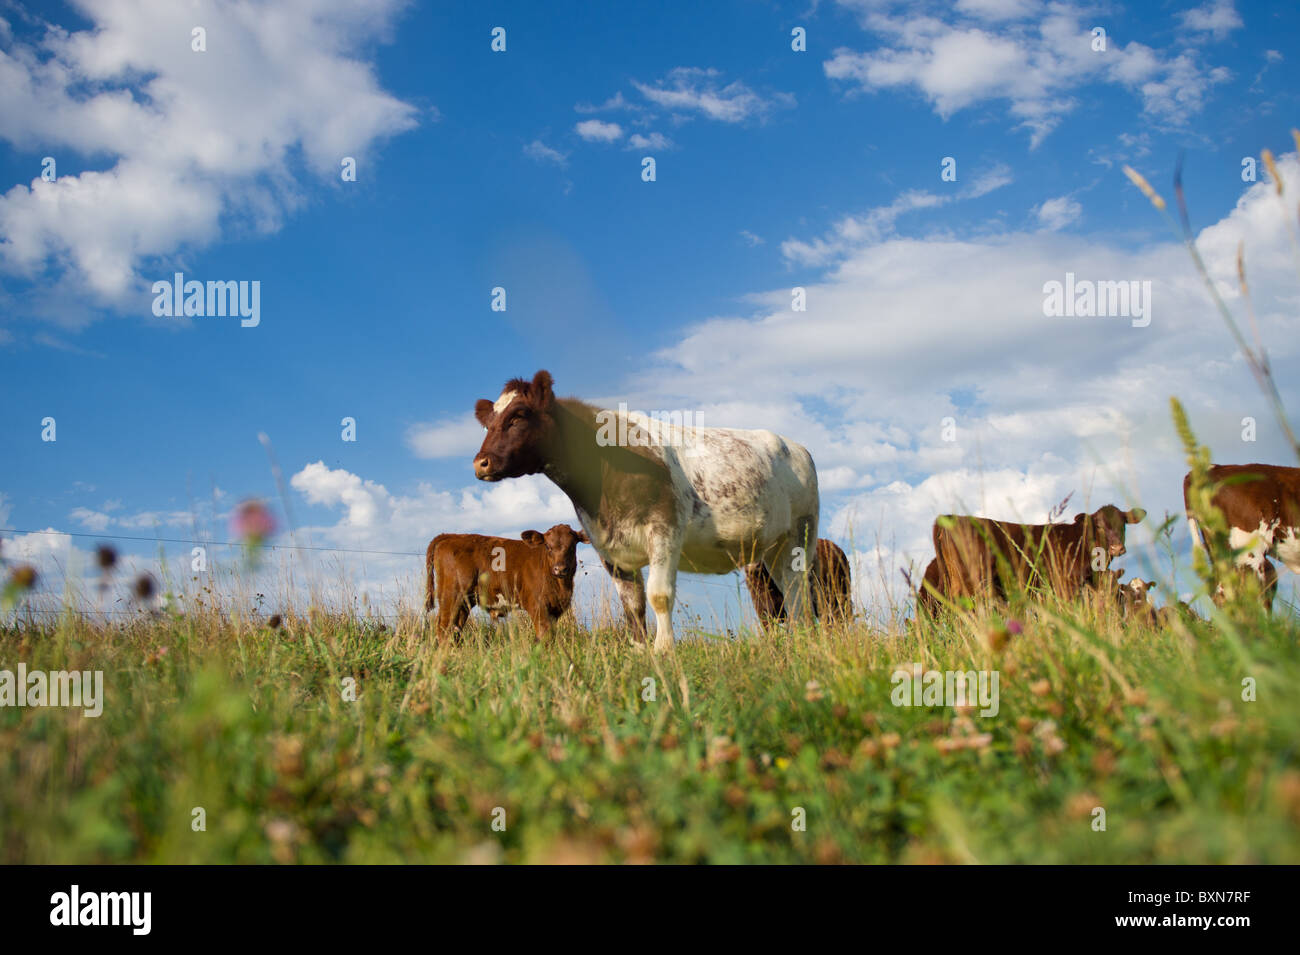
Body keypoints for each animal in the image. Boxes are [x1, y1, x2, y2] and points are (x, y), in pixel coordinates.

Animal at [423, 522, 587, 641]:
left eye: (572, 545)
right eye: (547, 546)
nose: (560, 569)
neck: (561, 587)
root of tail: (449, 536)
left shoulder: (555, 610)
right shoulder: (537, 606)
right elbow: (544, 636)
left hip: (464, 601)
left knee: (455, 628)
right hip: (451, 595)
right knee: (443, 627)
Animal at [473, 369, 816, 654]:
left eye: (519, 415)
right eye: (488, 423)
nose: (480, 463)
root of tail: (795, 446)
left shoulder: (665, 531)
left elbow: (659, 595)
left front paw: (663, 650)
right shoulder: (609, 549)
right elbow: (632, 606)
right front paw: (639, 651)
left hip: (801, 533)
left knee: (799, 591)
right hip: (772, 548)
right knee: (789, 591)